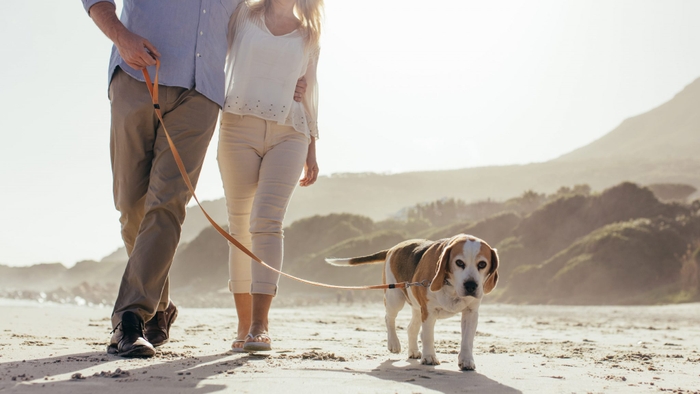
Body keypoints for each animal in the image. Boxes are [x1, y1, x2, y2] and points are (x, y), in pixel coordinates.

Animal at [326, 235, 498, 370]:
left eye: (482, 264)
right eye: (459, 263)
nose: (471, 286)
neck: (451, 286)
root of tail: (392, 248)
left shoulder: (471, 313)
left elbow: (467, 339)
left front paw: (467, 361)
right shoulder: (428, 311)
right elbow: (427, 335)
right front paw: (429, 357)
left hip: (416, 308)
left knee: (411, 328)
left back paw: (414, 351)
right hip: (395, 298)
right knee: (389, 318)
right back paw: (394, 343)